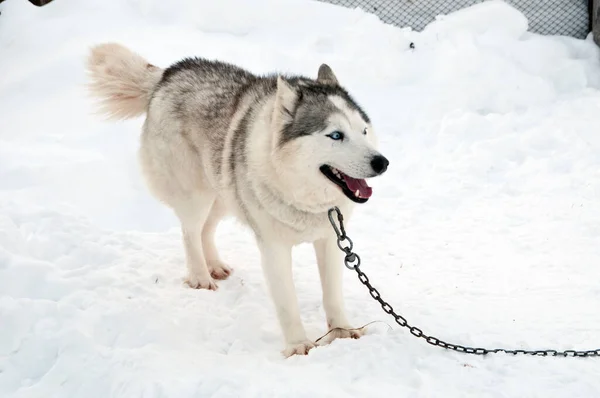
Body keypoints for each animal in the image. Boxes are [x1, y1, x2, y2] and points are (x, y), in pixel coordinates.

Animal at [88, 43, 390, 358]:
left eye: (363, 131)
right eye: (335, 135)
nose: (382, 163)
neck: (303, 197)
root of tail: (168, 73)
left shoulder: (330, 241)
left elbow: (332, 295)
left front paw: (342, 333)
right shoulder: (273, 249)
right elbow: (288, 303)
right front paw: (298, 347)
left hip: (223, 193)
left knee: (206, 230)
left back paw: (215, 266)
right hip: (197, 196)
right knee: (190, 232)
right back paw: (200, 277)